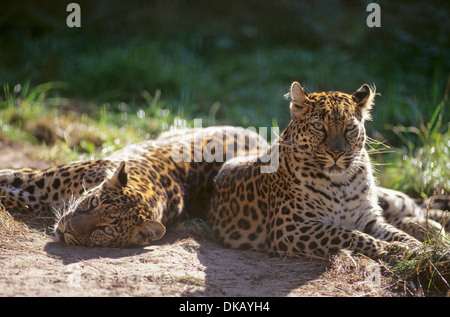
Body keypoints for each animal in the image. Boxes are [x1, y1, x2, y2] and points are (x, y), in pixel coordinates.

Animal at [0, 126, 268, 247]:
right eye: (93, 202)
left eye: (106, 230)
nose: (67, 229)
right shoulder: (41, 178)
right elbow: (9, 178)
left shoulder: (40, 192)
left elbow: (20, 197)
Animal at [209, 81, 448, 262]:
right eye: (318, 127)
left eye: (350, 128)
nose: (336, 153)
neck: (341, 182)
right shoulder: (292, 227)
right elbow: (349, 235)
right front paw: (394, 249)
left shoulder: (369, 220)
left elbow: (393, 232)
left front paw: (418, 247)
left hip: (387, 198)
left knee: (410, 207)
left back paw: (433, 226)